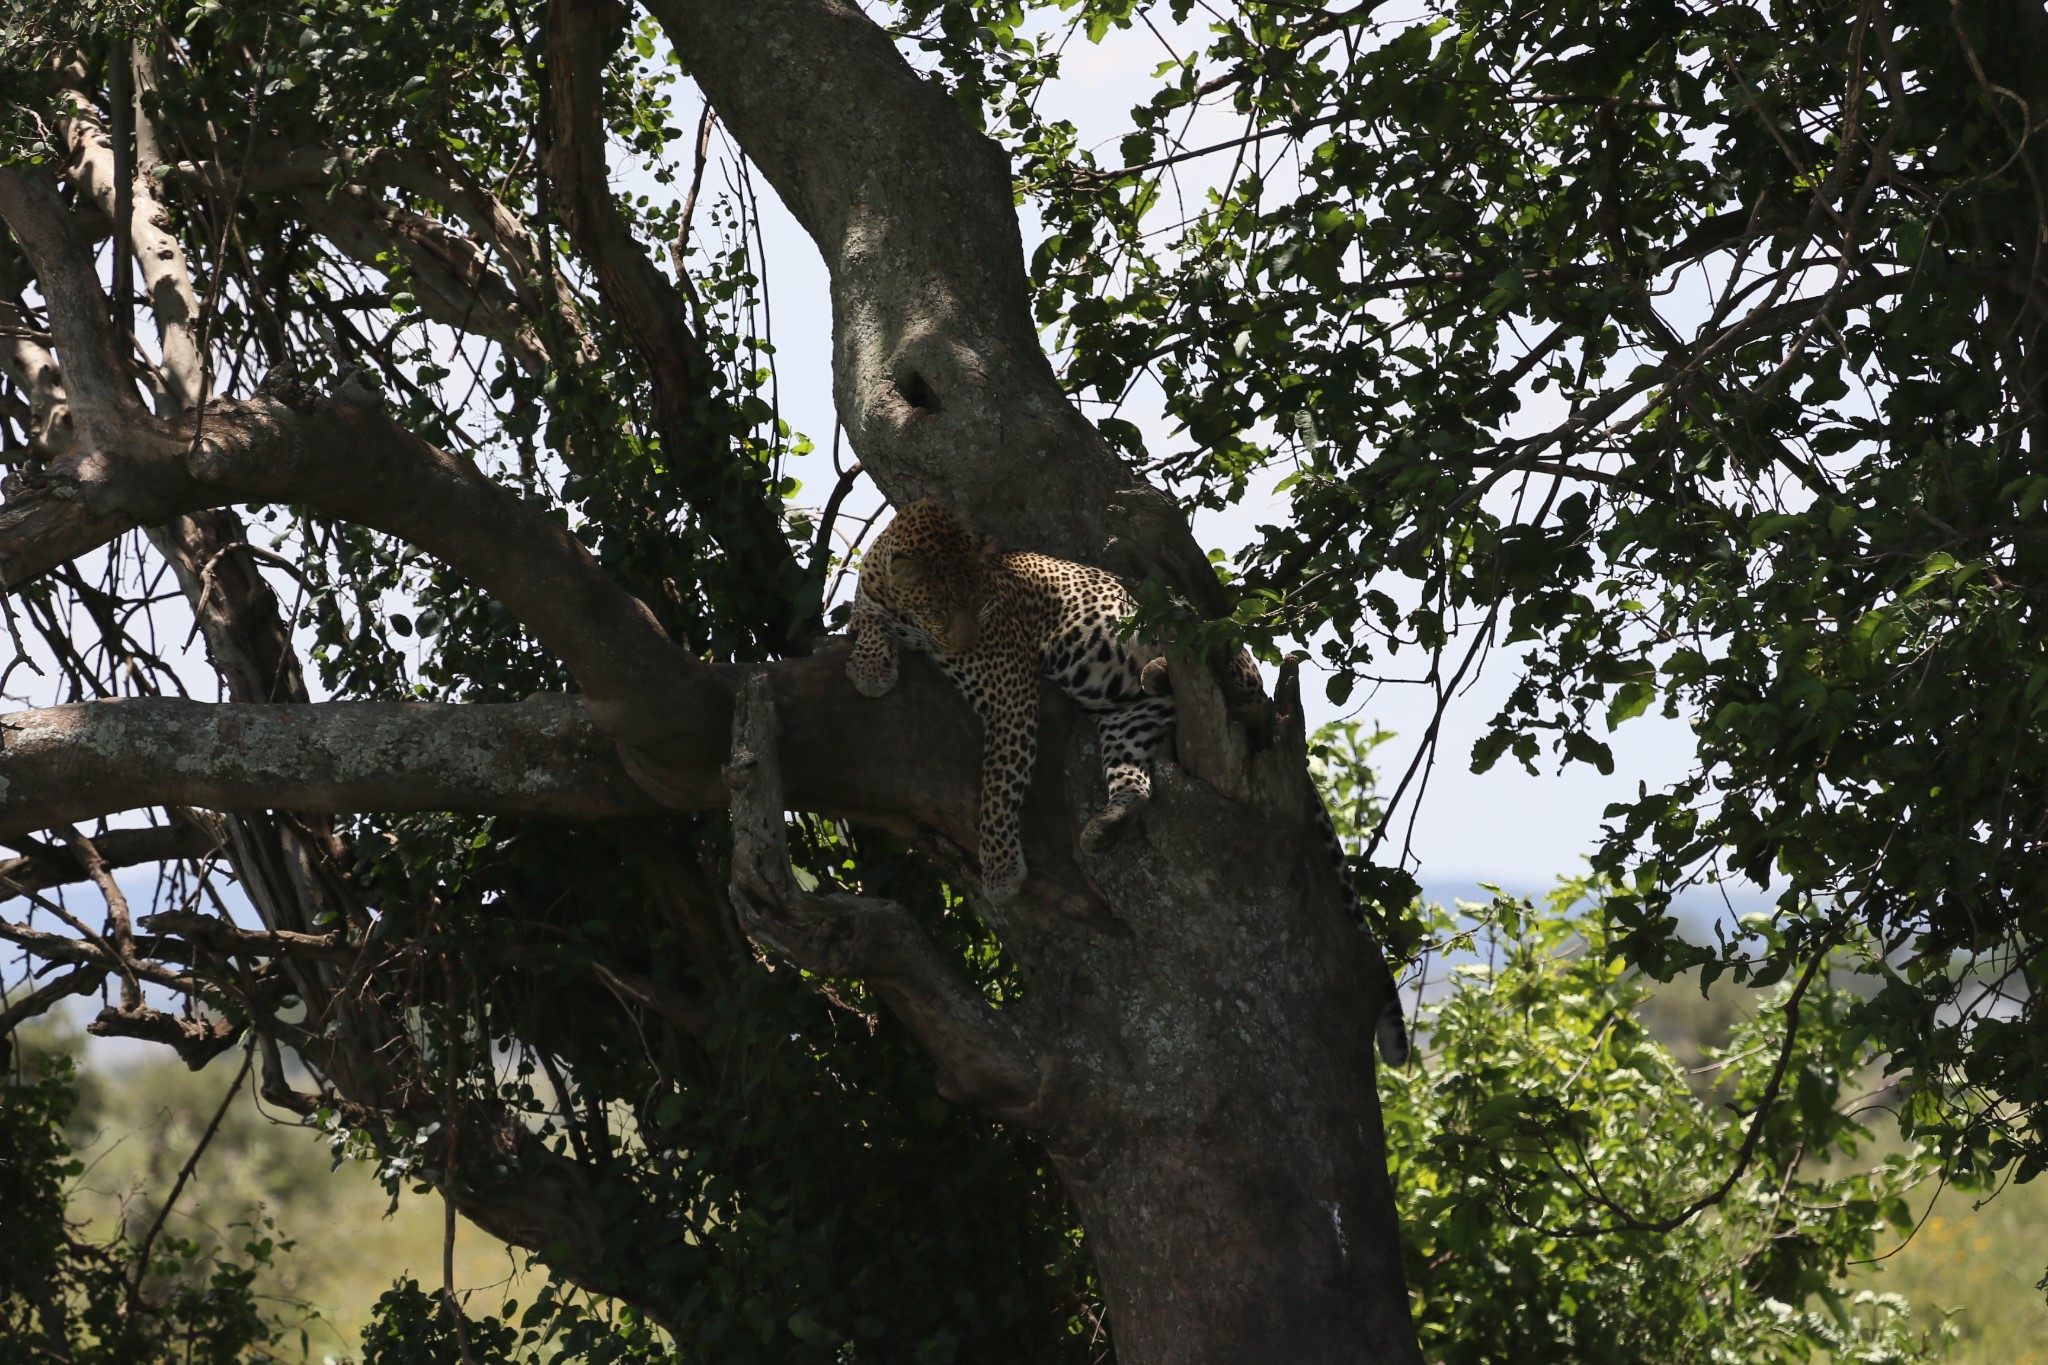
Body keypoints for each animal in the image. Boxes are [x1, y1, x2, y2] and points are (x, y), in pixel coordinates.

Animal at [843, 499, 1409, 1064]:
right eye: (942, 609)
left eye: (979, 608)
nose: (964, 642)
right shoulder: (874, 599)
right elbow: (863, 619)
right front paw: (870, 667)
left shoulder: (1009, 693)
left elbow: (999, 785)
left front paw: (1001, 871)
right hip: (1126, 719)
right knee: (1138, 781)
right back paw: (1109, 820)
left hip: (1186, 636)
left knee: (1233, 688)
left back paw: (1165, 669)